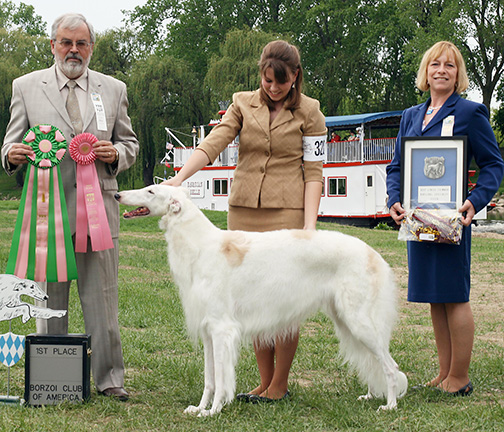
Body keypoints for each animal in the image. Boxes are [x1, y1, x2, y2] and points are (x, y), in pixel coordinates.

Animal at [116, 185, 408, 416]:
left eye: (151, 190)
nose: (118, 194)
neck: (200, 245)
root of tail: (373, 254)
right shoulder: (208, 330)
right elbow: (210, 379)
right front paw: (199, 408)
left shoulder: (222, 328)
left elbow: (221, 378)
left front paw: (214, 411)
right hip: (347, 321)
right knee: (374, 362)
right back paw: (370, 395)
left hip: (359, 321)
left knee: (391, 366)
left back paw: (390, 405)